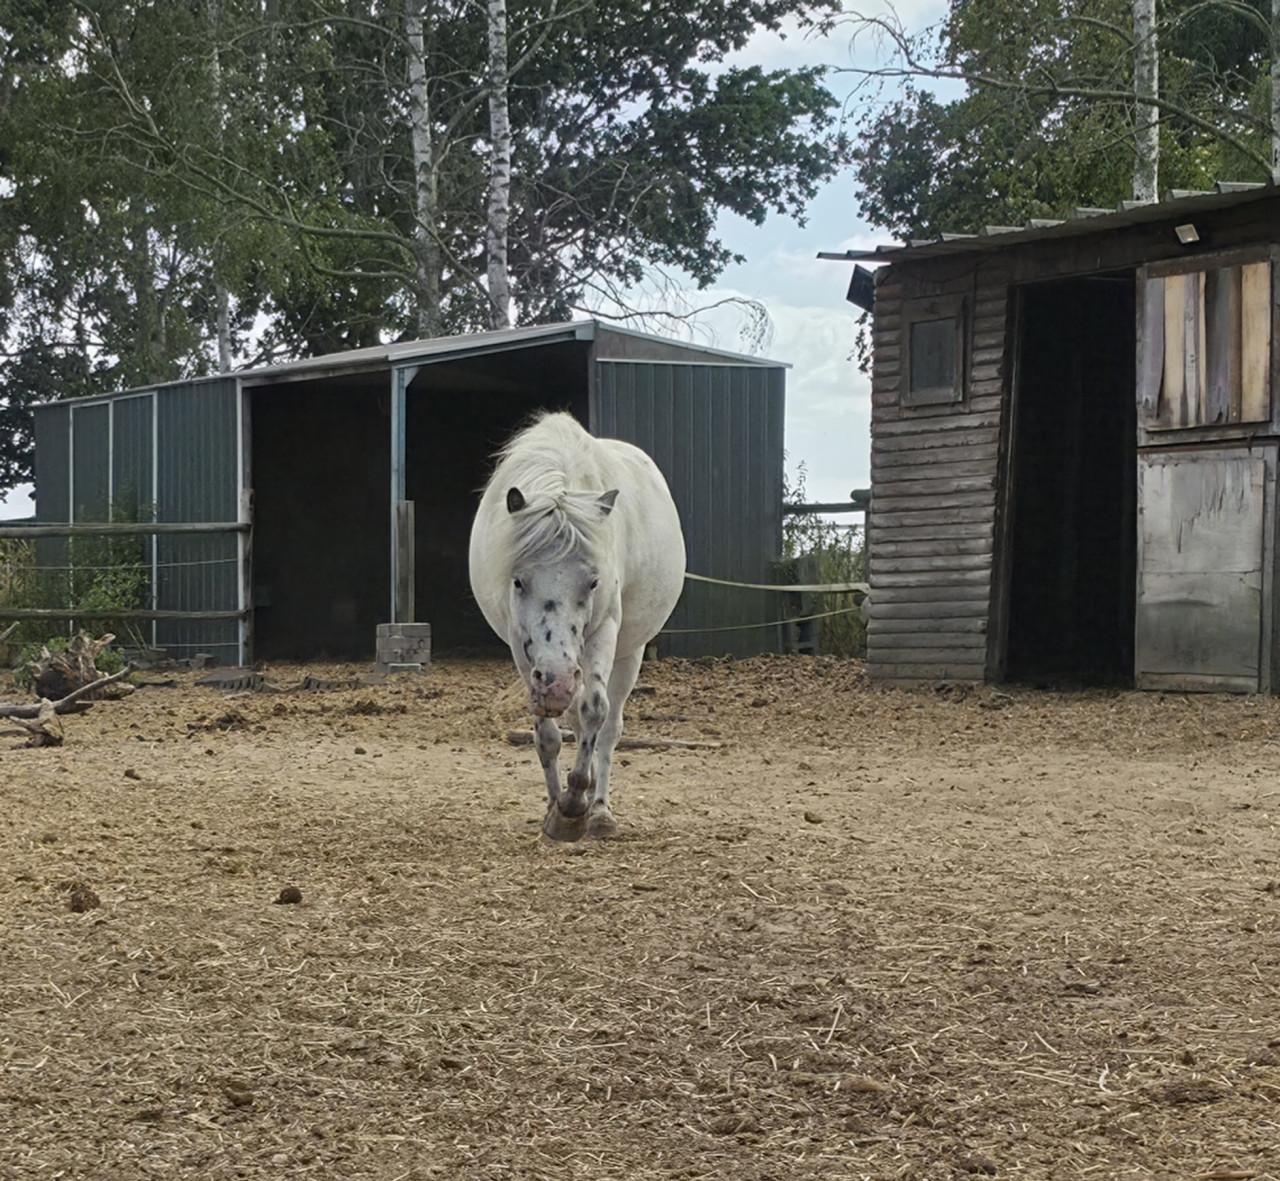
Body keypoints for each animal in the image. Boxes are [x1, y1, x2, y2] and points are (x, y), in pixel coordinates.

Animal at [468, 412, 686, 841]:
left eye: (593, 582)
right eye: (518, 582)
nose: (556, 682)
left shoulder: (604, 632)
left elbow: (594, 711)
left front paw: (575, 806)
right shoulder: (521, 647)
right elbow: (548, 735)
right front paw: (557, 808)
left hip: (628, 653)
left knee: (608, 728)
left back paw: (598, 810)